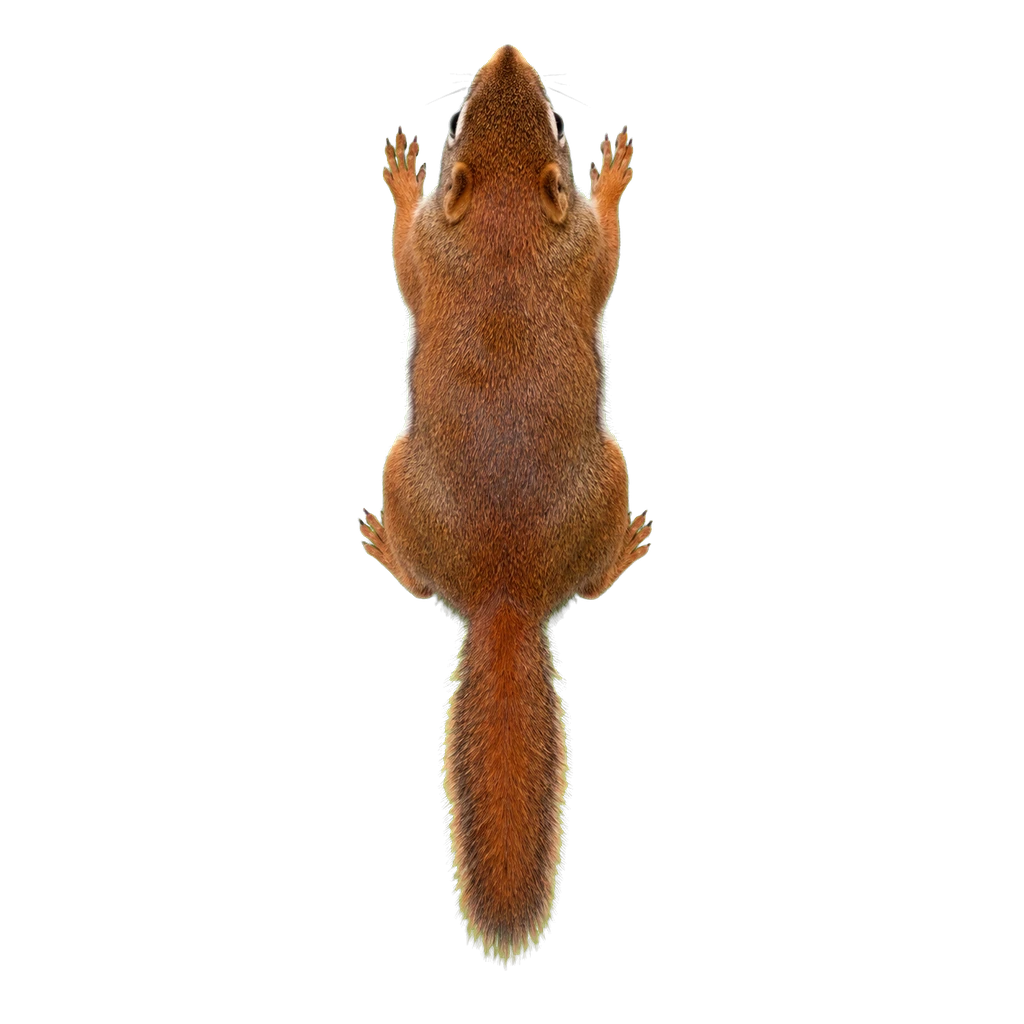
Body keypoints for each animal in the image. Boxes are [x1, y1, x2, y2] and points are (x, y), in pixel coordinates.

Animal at [363, 44, 650, 964]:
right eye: (460, 125)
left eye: (553, 126)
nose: (508, 53)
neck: (504, 224)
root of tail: (505, 597)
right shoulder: (452, 249)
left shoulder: (548, 250)